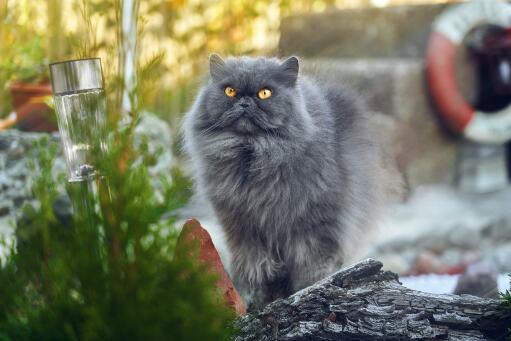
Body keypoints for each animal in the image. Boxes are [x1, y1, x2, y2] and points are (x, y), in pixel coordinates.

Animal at [182, 53, 386, 308]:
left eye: (265, 93)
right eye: (230, 91)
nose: (245, 102)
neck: (253, 154)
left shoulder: (316, 226)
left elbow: (313, 265)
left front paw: (309, 290)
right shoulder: (243, 230)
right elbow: (254, 267)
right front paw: (255, 298)